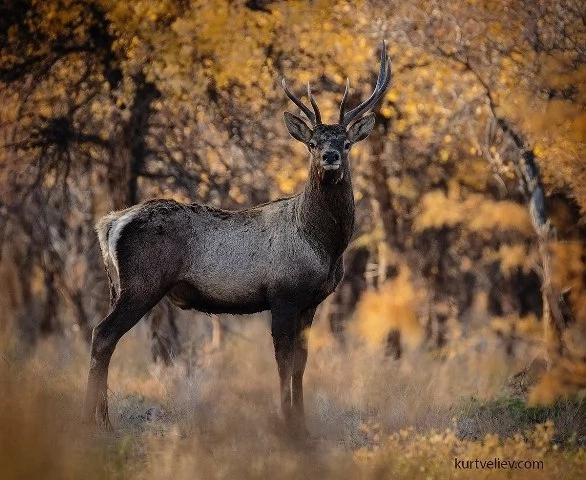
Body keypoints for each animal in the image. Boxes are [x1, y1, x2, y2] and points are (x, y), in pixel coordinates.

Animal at [82, 41, 390, 434]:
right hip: (142, 284)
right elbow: (283, 361)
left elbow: (302, 362)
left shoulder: (312, 301)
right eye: (312, 143)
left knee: (104, 338)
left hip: (118, 287)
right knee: (102, 335)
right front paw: (287, 422)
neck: (322, 245)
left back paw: (101, 420)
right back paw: (97, 422)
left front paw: (302, 422)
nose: (330, 155)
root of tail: (109, 223)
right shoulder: (283, 293)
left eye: (348, 142)